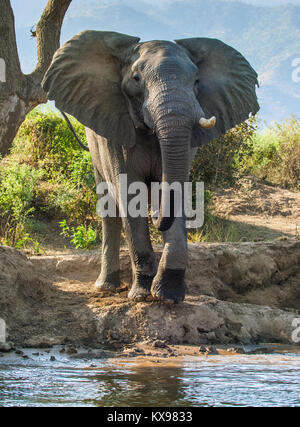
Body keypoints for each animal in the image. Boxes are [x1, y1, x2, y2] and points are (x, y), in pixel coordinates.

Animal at [42, 30, 260, 304]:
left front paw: (168, 296)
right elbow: (129, 194)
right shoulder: (116, 133)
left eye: (196, 81)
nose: (156, 215)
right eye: (136, 79)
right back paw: (106, 288)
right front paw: (142, 296)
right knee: (108, 208)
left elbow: (177, 189)